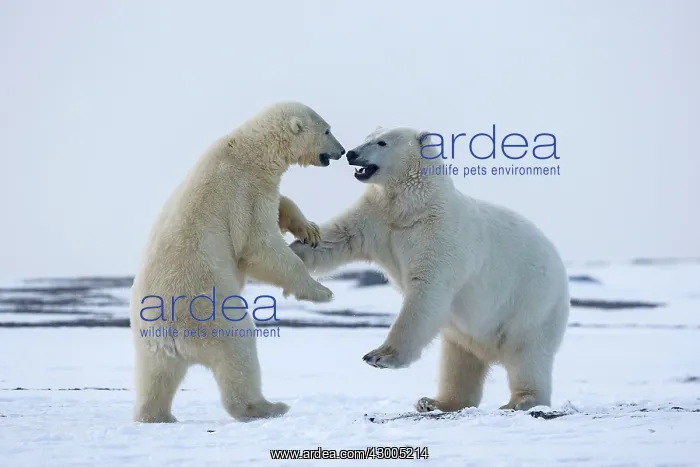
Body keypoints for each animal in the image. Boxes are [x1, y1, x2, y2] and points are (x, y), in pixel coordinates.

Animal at [130, 101, 345, 423]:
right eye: (328, 131)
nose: (342, 151)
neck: (249, 150)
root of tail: (169, 334)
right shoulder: (244, 192)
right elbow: (259, 246)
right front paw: (321, 291)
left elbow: (282, 207)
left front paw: (309, 229)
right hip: (210, 312)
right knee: (238, 352)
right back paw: (267, 407)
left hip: (148, 343)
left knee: (154, 377)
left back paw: (157, 416)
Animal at [289, 126, 570, 412]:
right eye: (368, 137)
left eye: (382, 142)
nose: (351, 153)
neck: (412, 206)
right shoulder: (376, 217)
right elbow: (335, 238)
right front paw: (291, 251)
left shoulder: (438, 235)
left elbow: (426, 292)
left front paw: (379, 356)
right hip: (467, 333)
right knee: (458, 359)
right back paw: (435, 401)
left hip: (530, 305)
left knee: (526, 353)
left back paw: (522, 401)